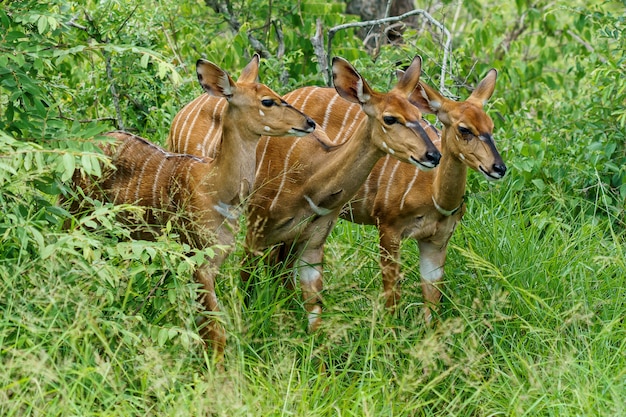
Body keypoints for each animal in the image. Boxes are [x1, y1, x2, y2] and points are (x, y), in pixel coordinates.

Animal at [67, 55, 316, 360]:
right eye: (267, 101)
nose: (310, 122)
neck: (217, 188)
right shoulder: (197, 257)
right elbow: (215, 331)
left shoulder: (217, 259)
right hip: (76, 210)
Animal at [241, 55, 442, 334]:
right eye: (390, 118)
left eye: (418, 115)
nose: (433, 155)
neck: (309, 180)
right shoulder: (255, 227)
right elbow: (244, 283)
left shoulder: (313, 239)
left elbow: (315, 311)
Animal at [280, 67, 504, 322]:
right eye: (464, 129)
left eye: (491, 126)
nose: (499, 168)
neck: (433, 196)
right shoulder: (388, 226)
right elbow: (392, 292)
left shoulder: (437, 241)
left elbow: (432, 300)